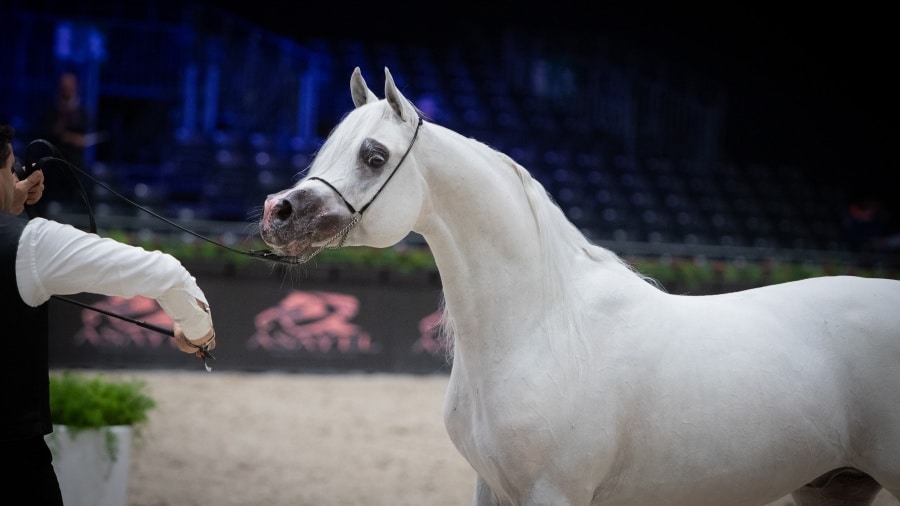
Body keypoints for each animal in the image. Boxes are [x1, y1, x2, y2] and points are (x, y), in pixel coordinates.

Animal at [259, 66, 900, 506]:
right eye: (330, 146)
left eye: (373, 155)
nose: (277, 213)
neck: (541, 328)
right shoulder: (491, 488)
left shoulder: (553, 492)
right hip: (834, 484)